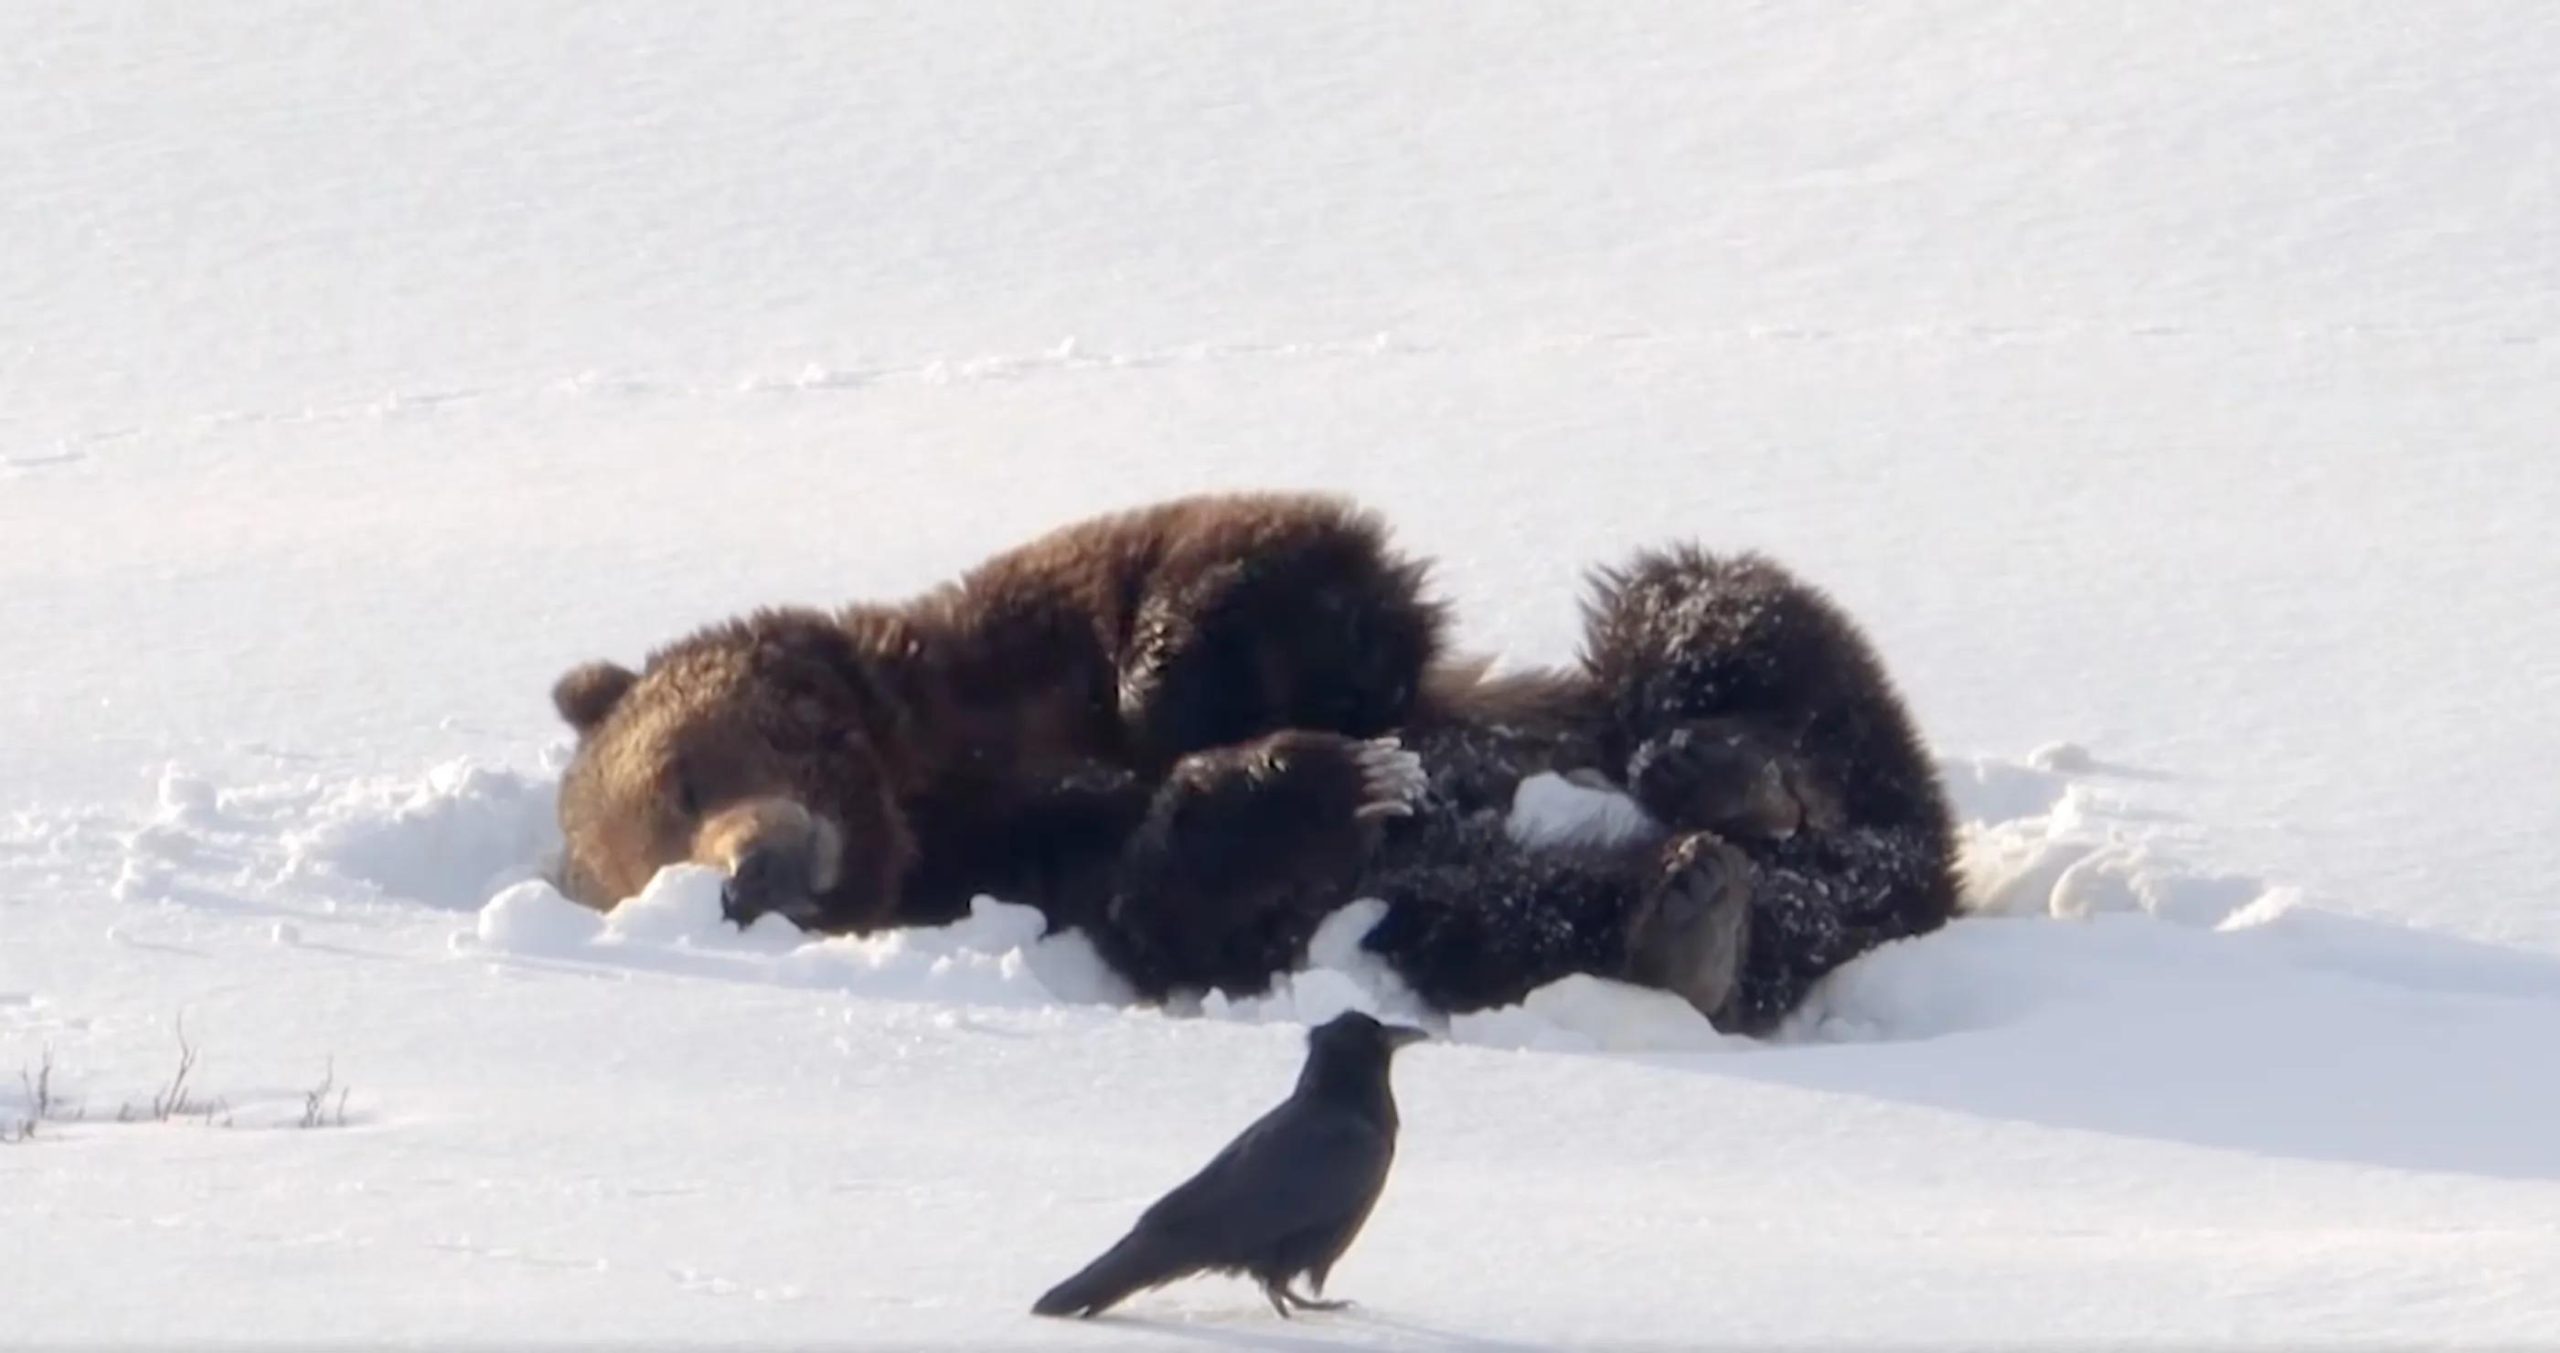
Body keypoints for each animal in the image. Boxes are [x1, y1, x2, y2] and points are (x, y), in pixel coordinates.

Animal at [545, 491, 1955, 1028]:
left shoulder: (1020, 635)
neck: (915, 777)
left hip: (1705, 670)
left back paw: (1721, 767)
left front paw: (1203, 700)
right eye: (651, 871)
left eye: (681, 778)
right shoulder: (1026, 869)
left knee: (1711, 620)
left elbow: (1257, 561)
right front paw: (1335, 778)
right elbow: (1170, 899)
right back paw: (1691, 911)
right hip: (1486, 913)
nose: (746, 877)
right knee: (1515, 916)